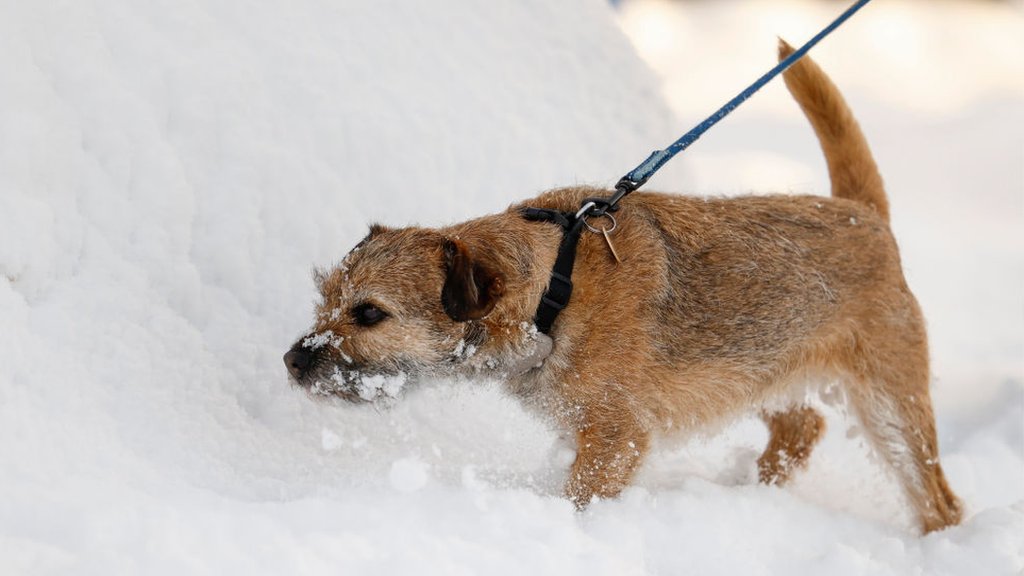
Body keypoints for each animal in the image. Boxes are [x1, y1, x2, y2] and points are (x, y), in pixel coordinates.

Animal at [284, 41, 962, 532]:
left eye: (370, 313)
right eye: (325, 300)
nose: (292, 361)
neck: (550, 291)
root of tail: (861, 214)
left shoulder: (614, 437)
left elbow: (581, 495)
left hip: (889, 407)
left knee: (937, 498)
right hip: (760, 368)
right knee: (802, 428)